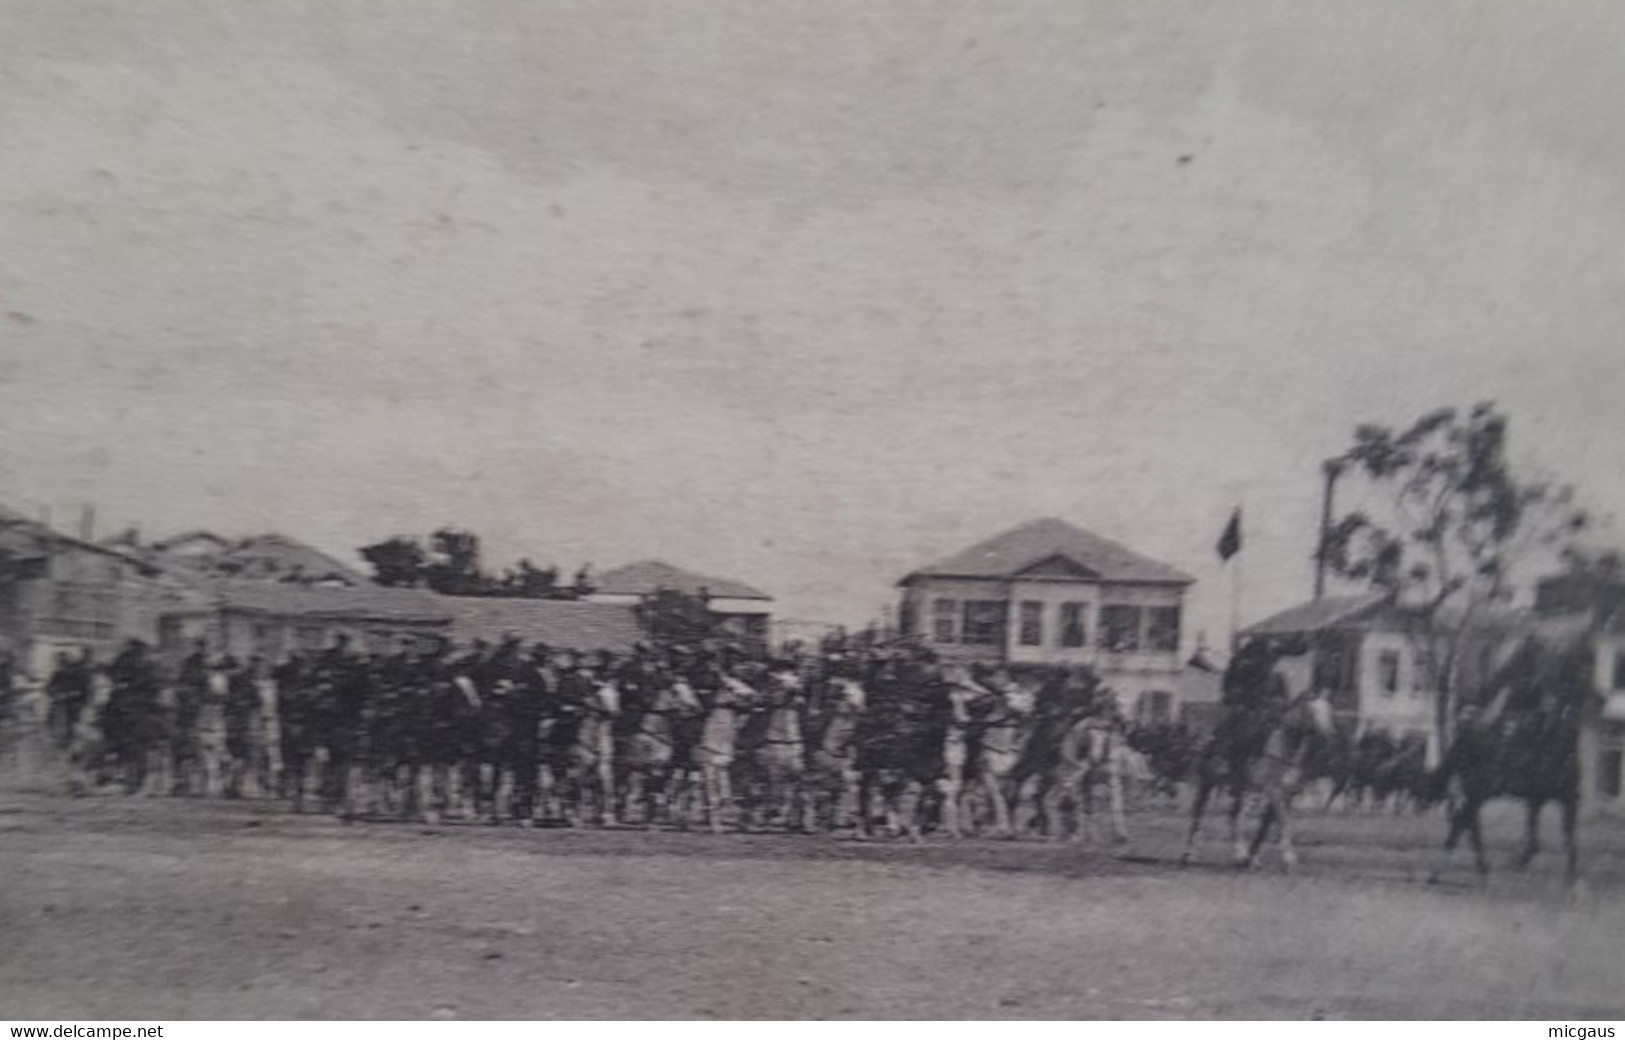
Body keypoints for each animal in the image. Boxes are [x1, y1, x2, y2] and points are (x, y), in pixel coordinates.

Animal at [1430, 620, 1592, 890]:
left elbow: (1551, 839)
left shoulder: (1544, 799)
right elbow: (1566, 842)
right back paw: (1473, 872)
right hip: (1478, 790)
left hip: (1478, 792)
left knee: (1466, 823)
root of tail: (1466, 731)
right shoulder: (1566, 799)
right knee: (1467, 823)